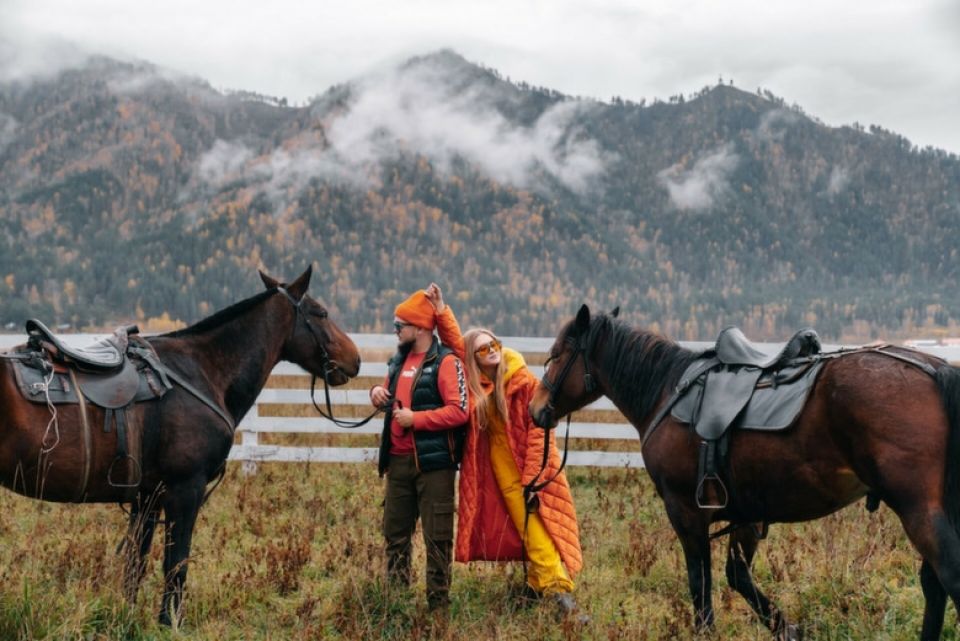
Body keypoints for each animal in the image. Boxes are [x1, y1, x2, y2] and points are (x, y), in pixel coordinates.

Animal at [0, 266, 360, 624]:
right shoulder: (185, 489)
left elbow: (136, 563)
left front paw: (129, 618)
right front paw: (169, 621)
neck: (200, 370)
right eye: (321, 313)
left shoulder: (147, 496)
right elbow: (175, 564)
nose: (354, 359)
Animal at [528, 304, 960, 640]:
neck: (667, 390)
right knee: (934, 584)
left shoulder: (685, 512)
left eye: (557, 353)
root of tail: (934, 368)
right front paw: (788, 628)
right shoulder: (747, 514)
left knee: (947, 576)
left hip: (918, 510)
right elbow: (737, 575)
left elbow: (700, 582)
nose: (536, 408)